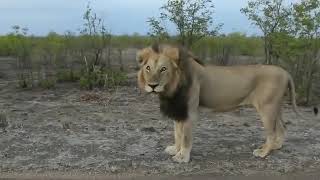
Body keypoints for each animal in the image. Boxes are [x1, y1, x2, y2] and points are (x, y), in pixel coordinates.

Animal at [136, 43, 302, 162]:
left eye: (163, 69)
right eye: (148, 68)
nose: (152, 85)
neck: (172, 88)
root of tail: (285, 72)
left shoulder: (190, 112)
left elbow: (185, 137)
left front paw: (182, 157)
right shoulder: (179, 110)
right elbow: (177, 133)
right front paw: (175, 149)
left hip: (267, 108)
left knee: (272, 132)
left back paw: (263, 152)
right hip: (275, 107)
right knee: (282, 127)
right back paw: (276, 147)